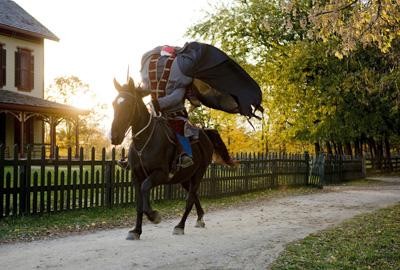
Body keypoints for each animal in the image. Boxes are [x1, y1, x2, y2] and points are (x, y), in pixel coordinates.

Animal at [109, 78, 234, 240]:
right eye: (114, 104)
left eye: (129, 104)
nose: (114, 137)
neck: (145, 141)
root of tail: (205, 134)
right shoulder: (136, 177)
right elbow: (139, 204)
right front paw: (136, 231)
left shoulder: (160, 174)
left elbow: (145, 189)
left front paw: (154, 216)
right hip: (185, 178)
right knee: (194, 196)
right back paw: (200, 219)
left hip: (198, 174)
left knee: (190, 199)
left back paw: (180, 226)